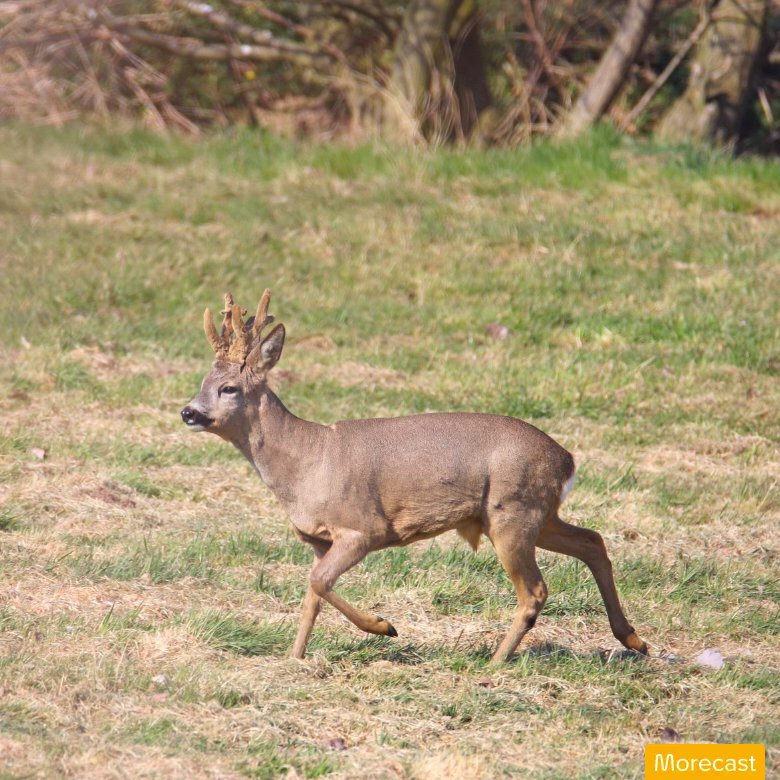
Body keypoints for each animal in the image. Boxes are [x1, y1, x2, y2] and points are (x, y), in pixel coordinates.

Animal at [181, 290, 648, 663]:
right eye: (202, 382)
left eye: (229, 388)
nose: (189, 412)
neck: (307, 461)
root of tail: (566, 459)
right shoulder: (318, 540)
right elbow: (312, 594)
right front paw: (294, 657)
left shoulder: (363, 527)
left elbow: (318, 583)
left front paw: (384, 626)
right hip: (536, 515)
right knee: (592, 541)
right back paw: (633, 640)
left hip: (512, 512)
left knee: (535, 589)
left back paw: (497, 661)